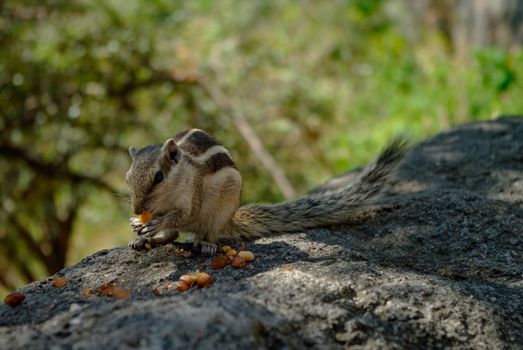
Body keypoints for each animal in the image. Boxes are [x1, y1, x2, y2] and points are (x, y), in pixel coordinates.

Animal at [127, 129, 410, 254]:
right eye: (128, 178)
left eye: (159, 177)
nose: (138, 209)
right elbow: (170, 224)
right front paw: (139, 224)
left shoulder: (191, 193)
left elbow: (184, 215)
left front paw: (154, 223)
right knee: (173, 235)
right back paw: (146, 240)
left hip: (221, 209)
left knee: (207, 232)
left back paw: (205, 243)